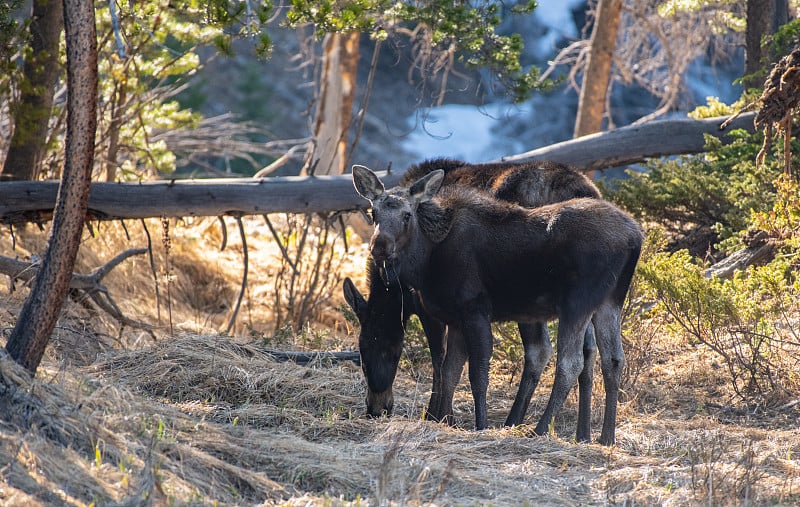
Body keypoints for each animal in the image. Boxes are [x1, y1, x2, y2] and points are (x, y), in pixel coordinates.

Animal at [354, 166, 640, 444]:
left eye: (406, 215)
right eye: (374, 212)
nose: (380, 246)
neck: (425, 262)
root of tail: (635, 237)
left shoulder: (474, 309)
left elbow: (476, 372)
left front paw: (479, 425)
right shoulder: (456, 319)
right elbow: (450, 372)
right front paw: (445, 420)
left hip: (577, 302)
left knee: (570, 362)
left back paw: (539, 430)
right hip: (609, 301)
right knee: (613, 359)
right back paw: (605, 437)